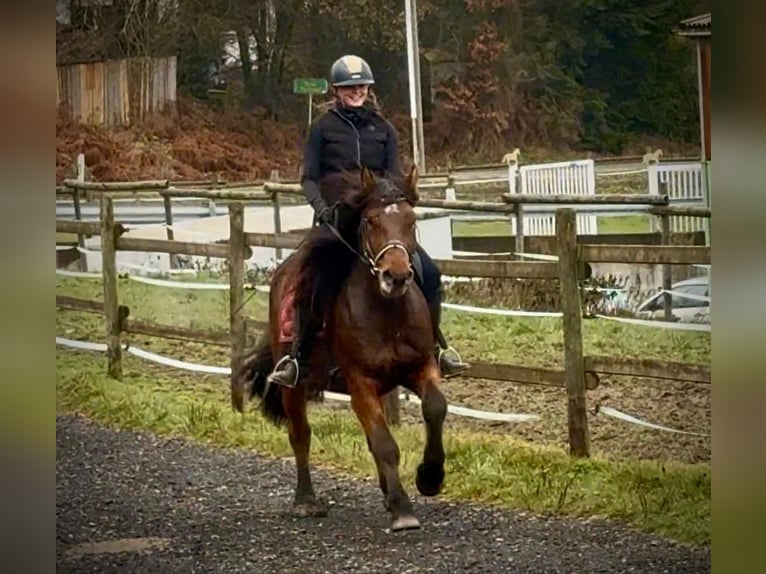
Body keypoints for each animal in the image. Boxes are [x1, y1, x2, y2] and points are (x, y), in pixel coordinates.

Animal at [231, 166, 448, 531]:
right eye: (371, 221)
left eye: (410, 220)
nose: (396, 277)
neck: (387, 313)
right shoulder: (360, 382)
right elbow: (384, 444)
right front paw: (402, 509)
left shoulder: (421, 366)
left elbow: (434, 408)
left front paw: (430, 477)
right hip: (294, 386)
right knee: (300, 435)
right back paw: (306, 501)